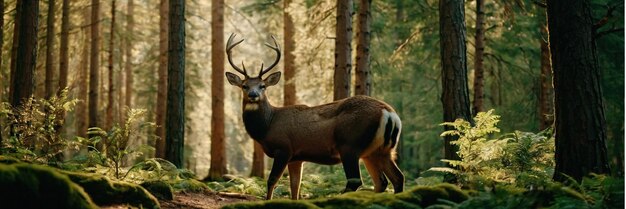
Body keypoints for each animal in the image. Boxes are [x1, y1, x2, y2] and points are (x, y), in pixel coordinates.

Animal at [224, 33, 404, 200]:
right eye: (244, 86)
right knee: (393, 179)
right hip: (380, 150)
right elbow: (295, 188)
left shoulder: (283, 148)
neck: (268, 125)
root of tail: (389, 113)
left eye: (263, 86)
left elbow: (272, 180)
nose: (253, 95)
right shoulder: (296, 157)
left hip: (350, 145)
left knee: (356, 181)